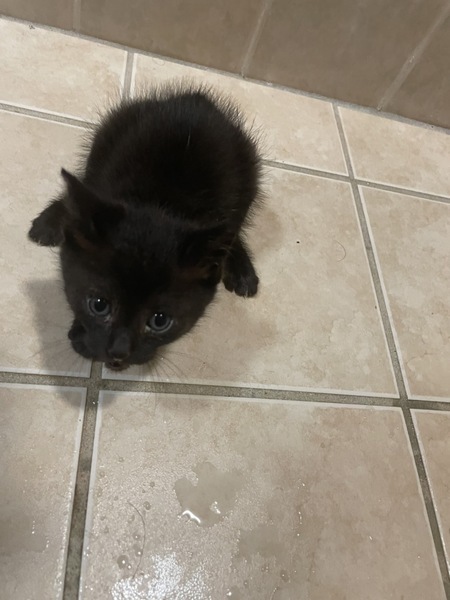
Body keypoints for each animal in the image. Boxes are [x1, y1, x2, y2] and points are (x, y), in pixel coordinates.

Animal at [28, 85, 262, 371]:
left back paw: (240, 267)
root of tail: (197, 100)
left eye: (160, 321)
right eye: (98, 305)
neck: (161, 203)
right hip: (107, 134)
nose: (119, 353)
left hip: (249, 173)